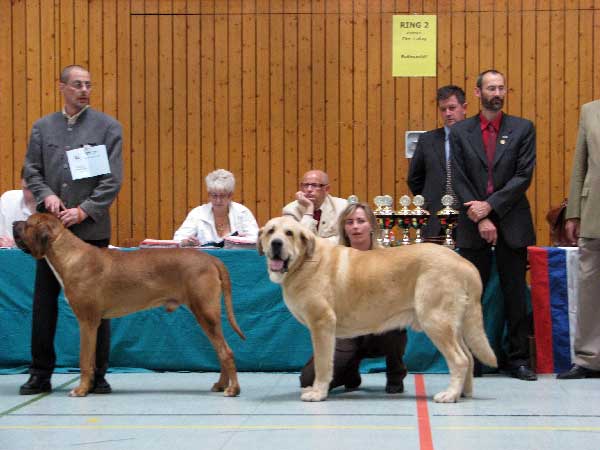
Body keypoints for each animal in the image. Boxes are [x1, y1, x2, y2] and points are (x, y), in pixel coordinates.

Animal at [12, 214, 245, 398]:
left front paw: (81, 390)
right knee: (221, 350)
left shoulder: (87, 322)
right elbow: (91, 360)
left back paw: (232, 389)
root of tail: (212, 259)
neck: (69, 255)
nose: (14, 222)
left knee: (226, 352)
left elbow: (85, 360)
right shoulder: (94, 323)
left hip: (205, 313)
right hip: (206, 315)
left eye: (28, 223)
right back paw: (221, 384)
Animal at [258, 216, 496, 402]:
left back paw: (449, 394)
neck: (304, 262)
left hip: (436, 321)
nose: (276, 243)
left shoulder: (322, 323)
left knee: (460, 359)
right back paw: (463, 393)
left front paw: (318, 393)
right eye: (270, 231)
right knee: (469, 356)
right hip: (453, 325)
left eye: (289, 233)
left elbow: (323, 364)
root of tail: (463, 262)